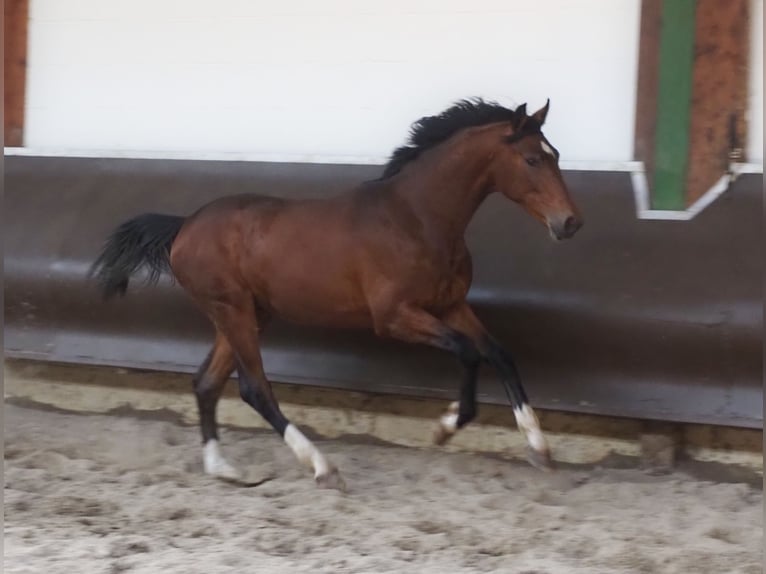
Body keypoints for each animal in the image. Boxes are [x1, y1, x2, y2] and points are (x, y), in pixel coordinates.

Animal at [91, 98, 584, 490]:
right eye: (532, 160)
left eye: (555, 154)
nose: (570, 223)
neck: (417, 218)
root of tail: (183, 226)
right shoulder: (395, 317)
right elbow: (467, 352)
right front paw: (445, 428)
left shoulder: (450, 304)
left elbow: (498, 353)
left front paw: (539, 448)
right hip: (233, 312)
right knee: (254, 388)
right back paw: (322, 467)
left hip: (247, 314)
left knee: (206, 382)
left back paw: (223, 469)